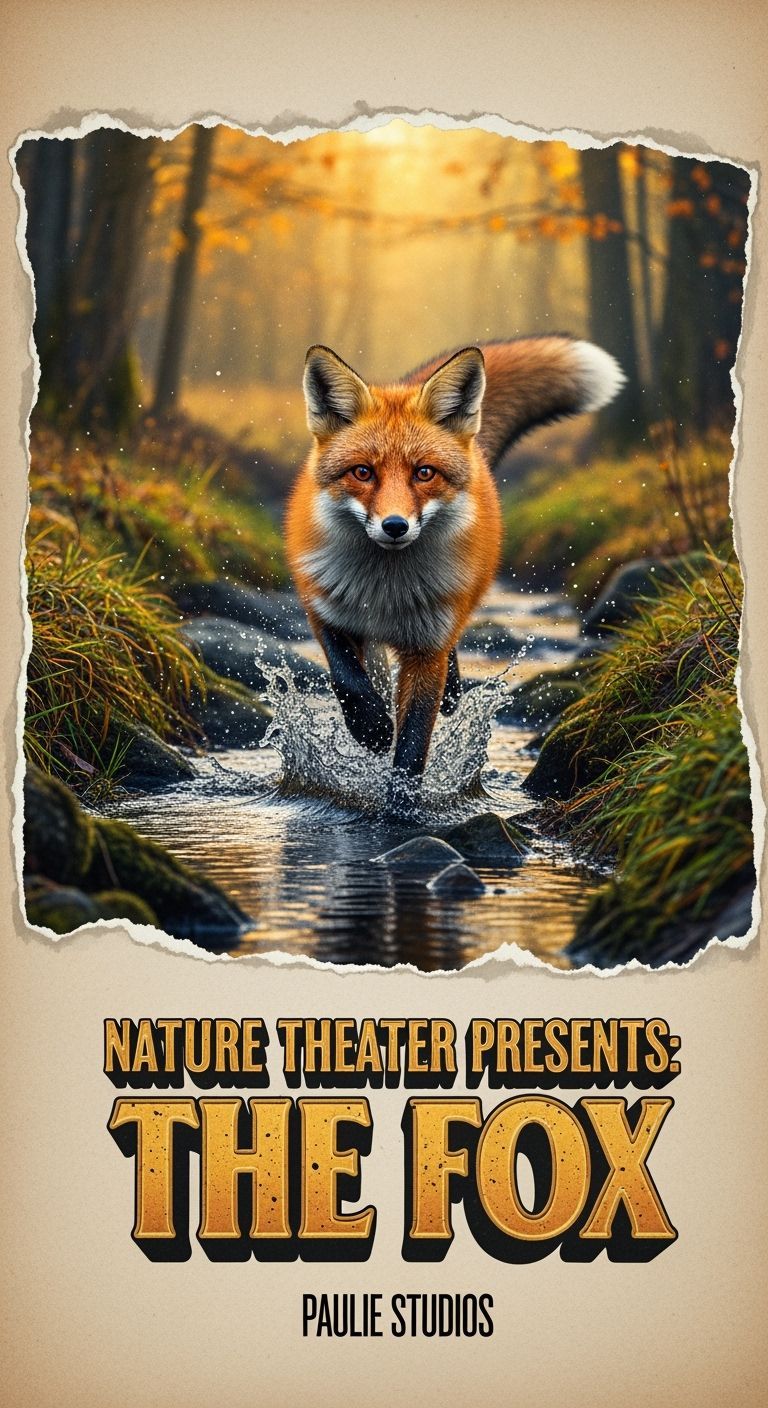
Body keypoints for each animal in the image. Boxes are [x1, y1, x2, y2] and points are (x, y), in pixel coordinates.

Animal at [285, 336, 625, 777]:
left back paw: (453, 691)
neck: (384, 592)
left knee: (452, 655)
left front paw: (401, 793)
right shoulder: (322, 605)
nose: (395, 526)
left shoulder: (428, 647)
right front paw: (371, 728)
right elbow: (346, 678)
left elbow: (413, 745)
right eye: (362, 472)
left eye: (424, 473)